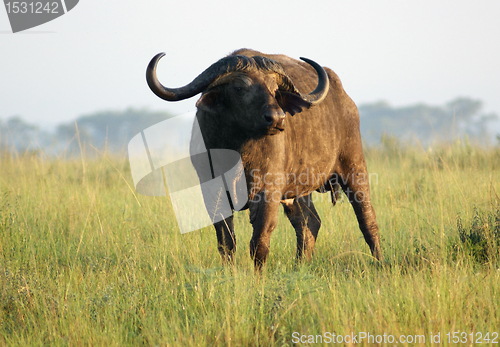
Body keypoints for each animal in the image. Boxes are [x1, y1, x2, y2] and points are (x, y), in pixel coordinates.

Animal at [146, 49, 382, 270]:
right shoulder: (212, 190)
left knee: (367, 220)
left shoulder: (267, 192)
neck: (237, 149)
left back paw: (380, 262)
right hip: (297, 189)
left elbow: (259, 241)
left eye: (275, 89)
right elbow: (226, 241)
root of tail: (345, 98)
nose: (277, 118)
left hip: (354, 167)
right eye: (240, 88)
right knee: (308, 223)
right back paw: (300, 265)